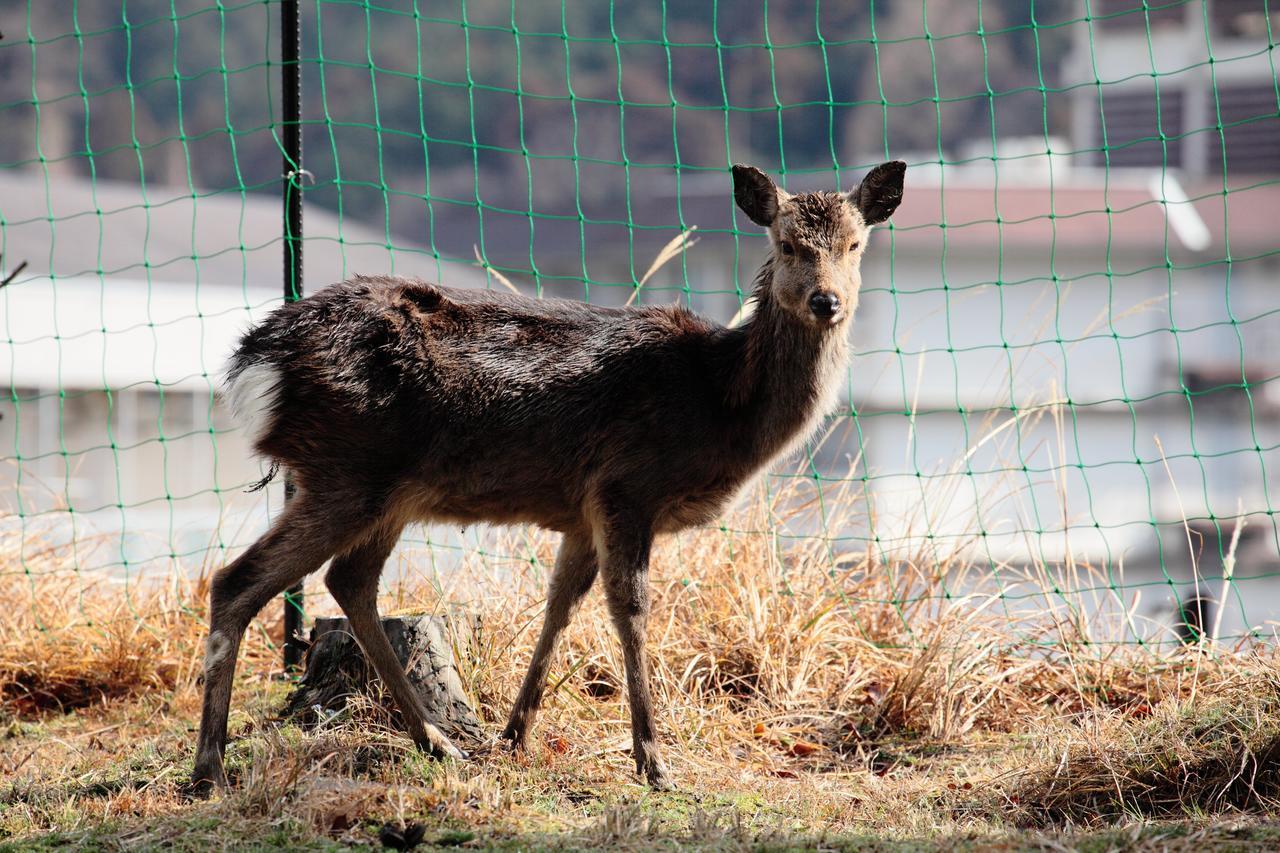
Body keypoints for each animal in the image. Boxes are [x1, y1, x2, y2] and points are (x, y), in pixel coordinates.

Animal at [194, 161, 906, 788]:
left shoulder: (582, 510)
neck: (719, 402)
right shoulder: (626, 484)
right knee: (237, 581)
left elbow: (560, 605)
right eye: (787, 244)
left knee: (349, 579)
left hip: (387, 489)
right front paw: (653, 761)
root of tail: (255, 361)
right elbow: (630, 609)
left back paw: (439, 742)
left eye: (855, 244)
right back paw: (209, 768)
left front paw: (515, 733)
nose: (827, 301)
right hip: (348, 467)